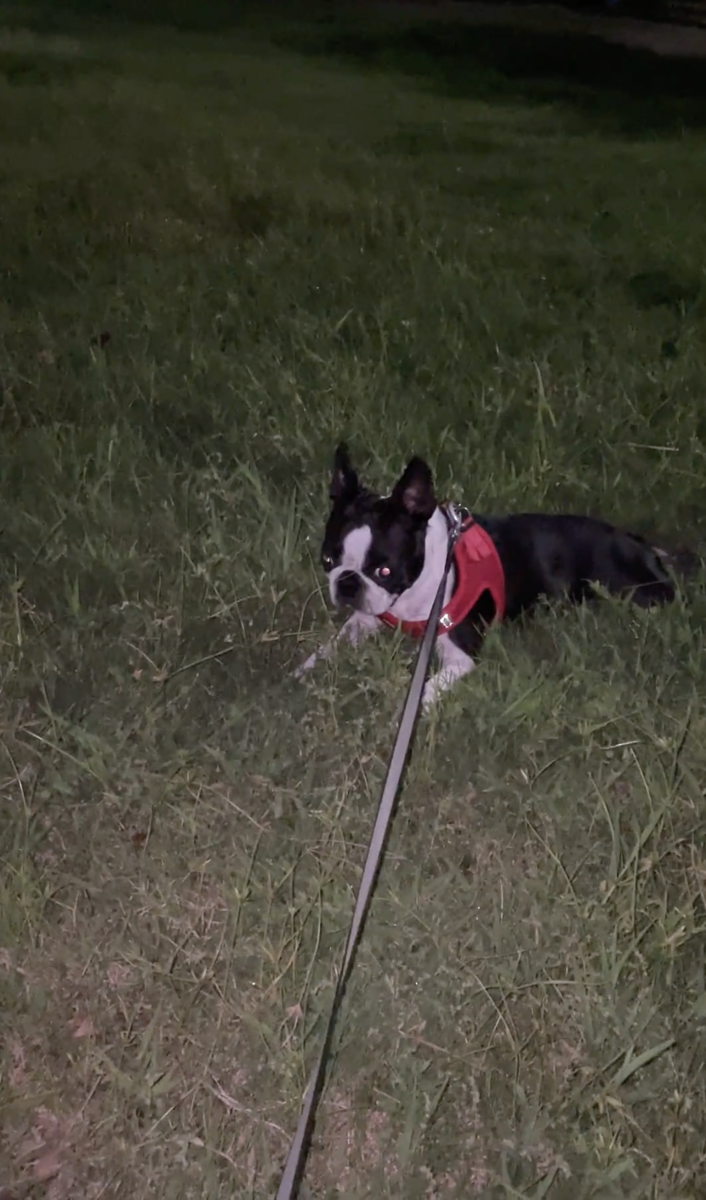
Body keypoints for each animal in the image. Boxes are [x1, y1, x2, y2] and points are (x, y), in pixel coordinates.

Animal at [295, 445, 680, 708]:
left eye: (385, 570)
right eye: (328, 560)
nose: (346, 584)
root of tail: (640, 545)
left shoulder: (460, 656)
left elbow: (427, 687)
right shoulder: (368, 617)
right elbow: (336, 641)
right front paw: (308, 667)